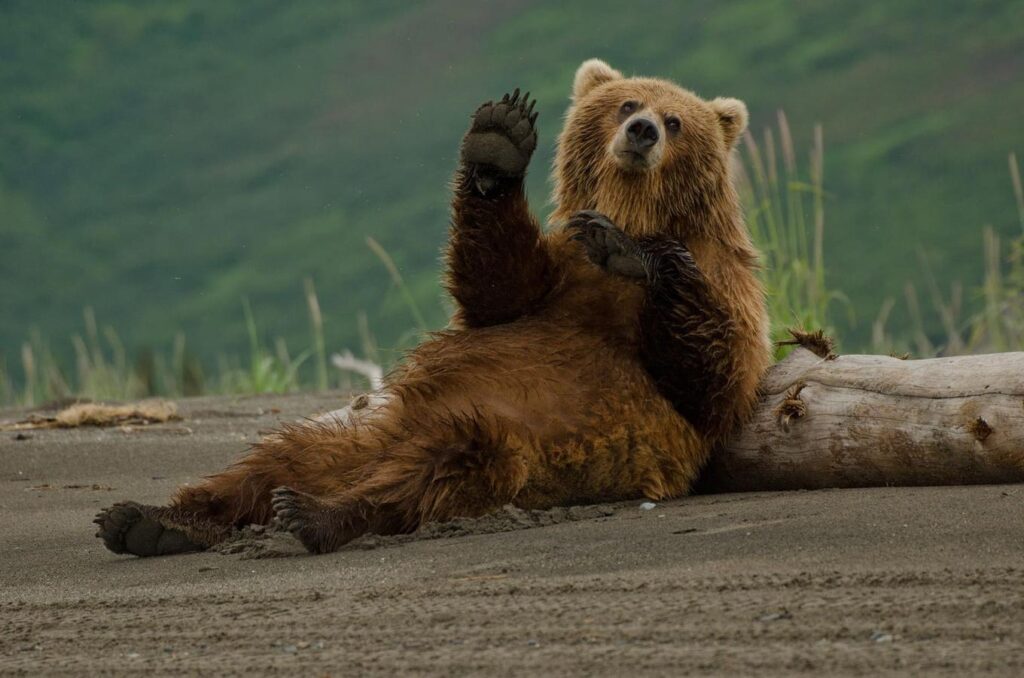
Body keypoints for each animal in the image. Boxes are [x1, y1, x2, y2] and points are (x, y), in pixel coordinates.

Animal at [93, 59, 771, 556]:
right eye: (628, 104)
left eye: (676, 120)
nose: (642, 132)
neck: (634, 208)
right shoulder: (553, 280)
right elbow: (495, 284)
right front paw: (499, 141)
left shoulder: (725, 289)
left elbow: (711, 375)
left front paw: (632, 251)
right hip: (354, 433)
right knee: (268, 459)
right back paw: (149, 519)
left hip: (509, 444)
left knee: (437, 468)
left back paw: (314, 513)